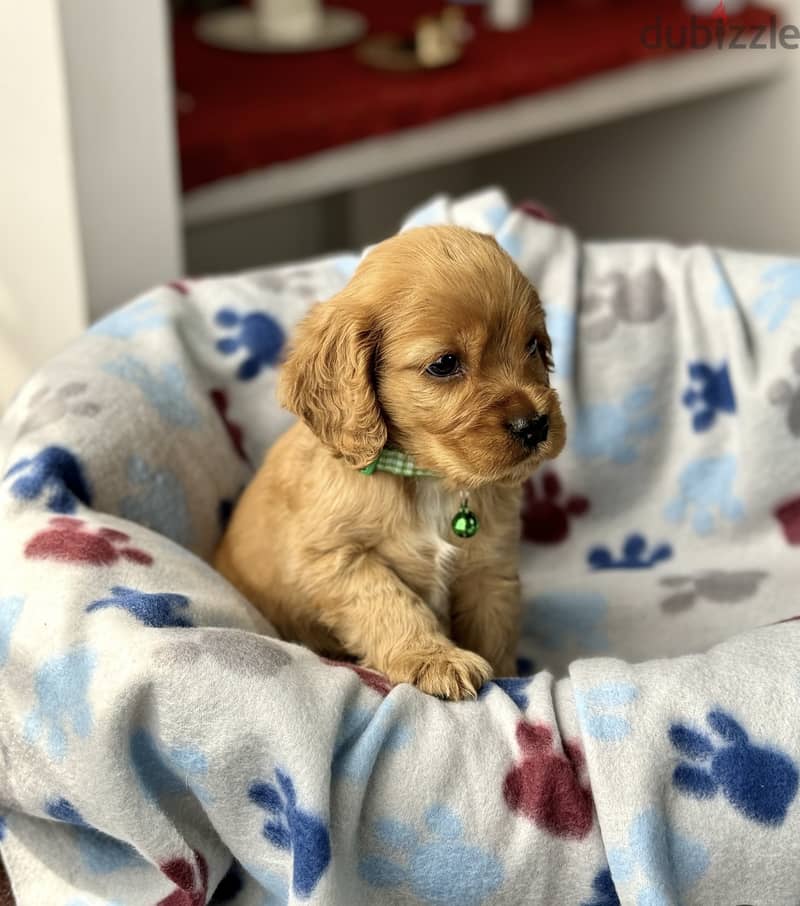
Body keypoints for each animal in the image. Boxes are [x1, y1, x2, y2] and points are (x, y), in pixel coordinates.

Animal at [216, 228, 564, 700]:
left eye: (533, 345)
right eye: (444, 364)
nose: (535, 425)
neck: (427, 478)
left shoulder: (489, 566)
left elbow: (495, 627)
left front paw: (511, 681)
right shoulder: (333, 558)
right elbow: (390, 603)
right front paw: (436, 660)